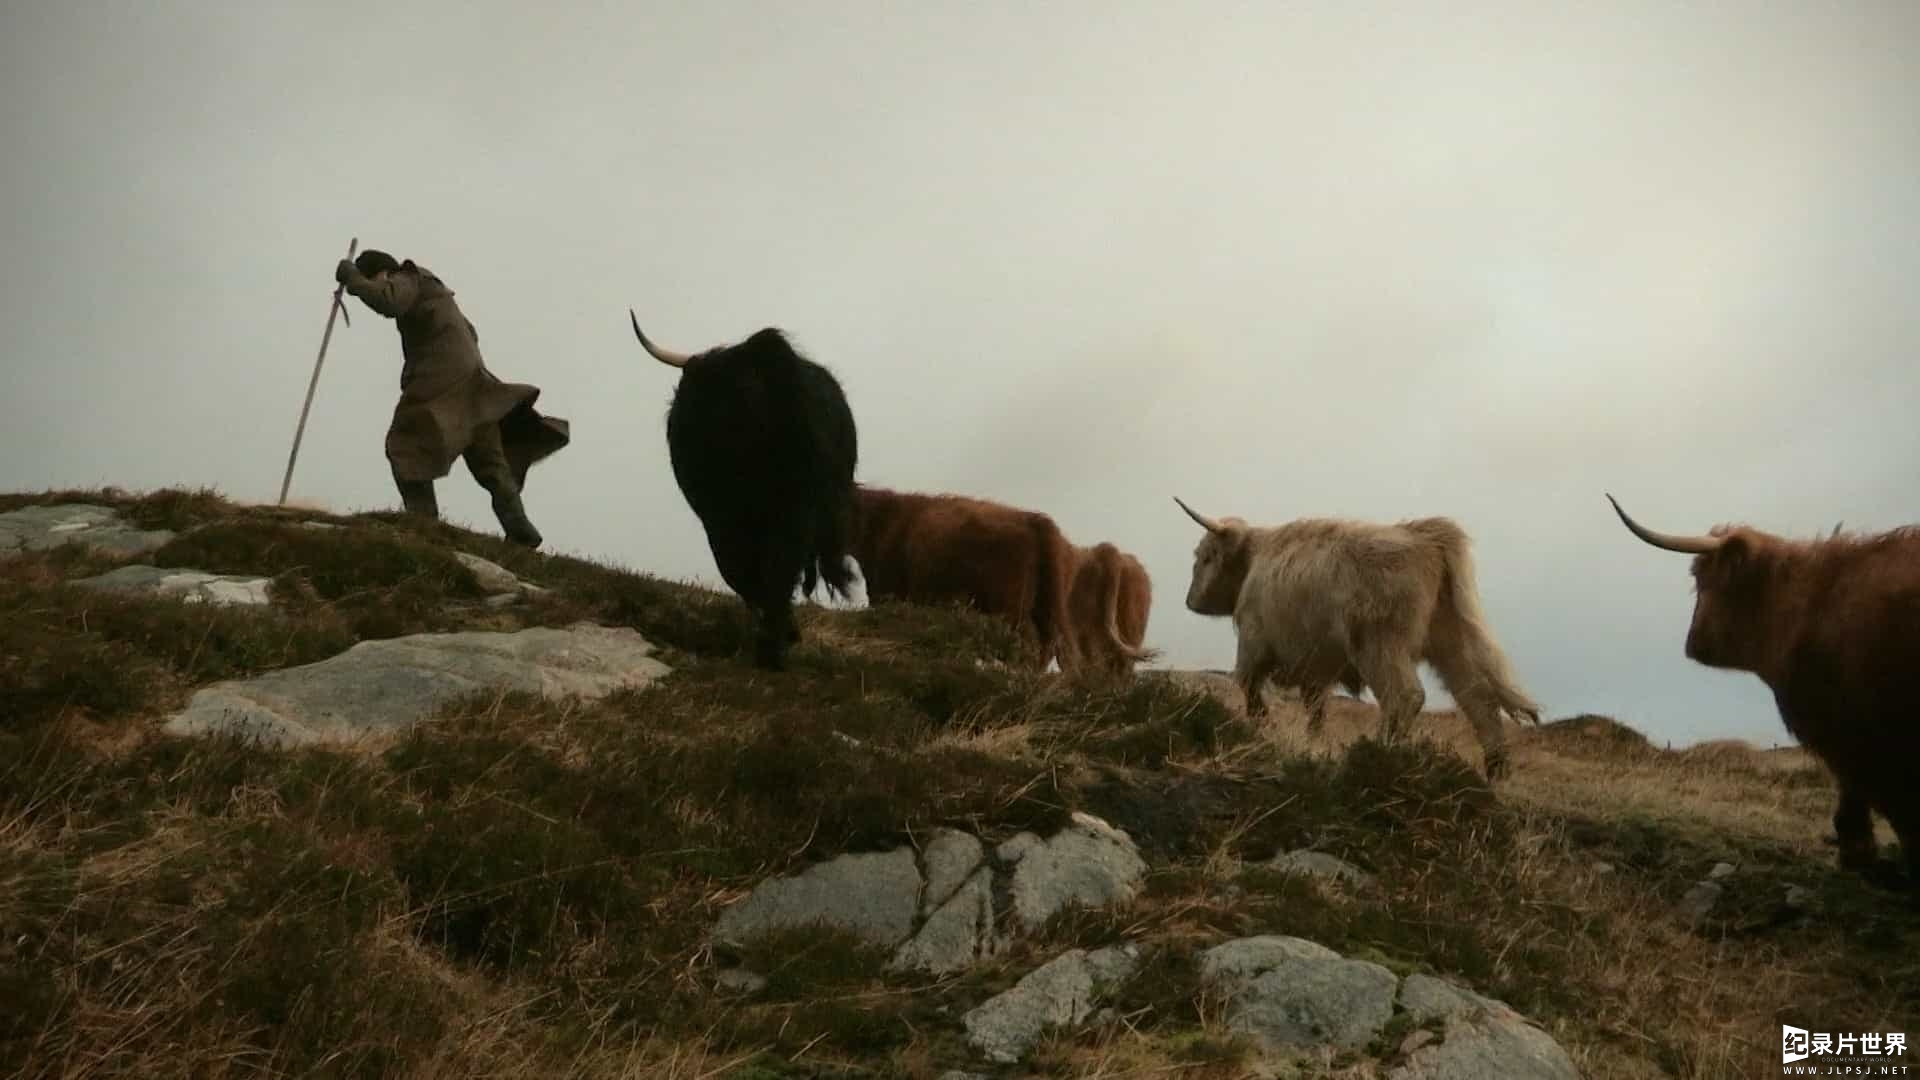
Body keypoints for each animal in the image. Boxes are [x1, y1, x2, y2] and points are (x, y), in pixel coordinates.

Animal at [852, 486, 1082, 672]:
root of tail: (1036, 520)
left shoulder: (887, 590)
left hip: (1009, 605)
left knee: (1029, 641)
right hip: (1044, 606)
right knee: (1046, 644)